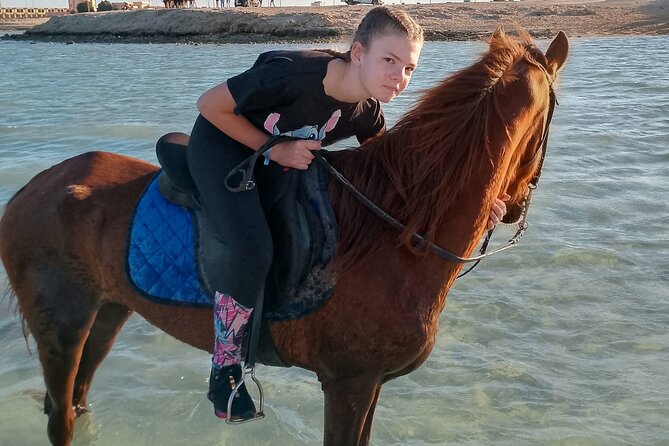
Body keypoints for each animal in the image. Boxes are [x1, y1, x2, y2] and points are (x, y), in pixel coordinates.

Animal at [0, 28, 568, 446]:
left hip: (108, 311)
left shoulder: (369, 385)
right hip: (63, 327)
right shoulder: (348, 382)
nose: (515, 207)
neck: (396, 233)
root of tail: (29, 189)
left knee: (77, 399)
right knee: (60, 417)